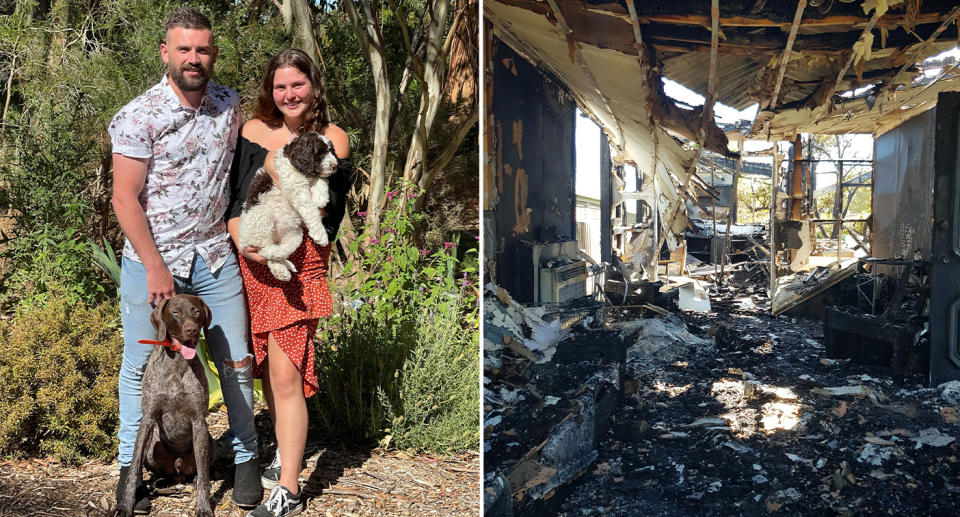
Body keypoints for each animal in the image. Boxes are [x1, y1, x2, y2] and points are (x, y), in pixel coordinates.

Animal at [116, 294, 216, 516]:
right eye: (176, 312)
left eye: (197, 312)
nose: (191, 330)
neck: (178, 361)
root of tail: (179, 470)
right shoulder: (148, 419)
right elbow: (133, 469)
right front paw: (126, 504)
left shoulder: (199, 421)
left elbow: (205, 474)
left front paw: (203, 506)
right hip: (152, 449)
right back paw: (161, 483)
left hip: (208, 441)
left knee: (200, 471)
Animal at [238, 131, 340, 280]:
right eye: (320, 152)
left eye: (331, 151)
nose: (335, 166)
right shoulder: (296, 188)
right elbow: (311, 210)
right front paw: (320, 234)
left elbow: (321, 179)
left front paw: (321, 197)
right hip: (262, 221)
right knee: (263, 250)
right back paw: (278, 265)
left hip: (295, 234)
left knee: (281, 251)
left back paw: (281, 263)